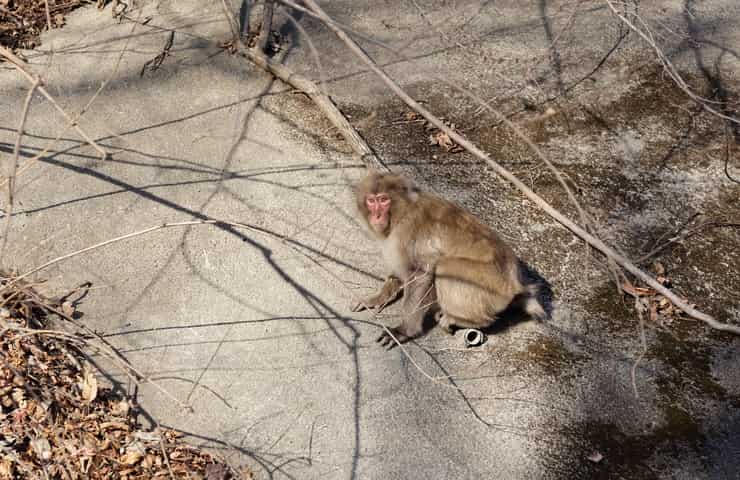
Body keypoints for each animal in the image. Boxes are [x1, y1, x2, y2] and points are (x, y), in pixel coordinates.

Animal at [350, 172, 548, 348]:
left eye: (384, 200)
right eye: (371, 200)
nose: (376, 216)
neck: (402, 212)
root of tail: (515, 283)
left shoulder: (406, 232)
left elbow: (421, 273)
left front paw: (404, 330)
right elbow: (400, 271)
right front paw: (376, 298)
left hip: (490, 286)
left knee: (446, 266)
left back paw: (465, 320)